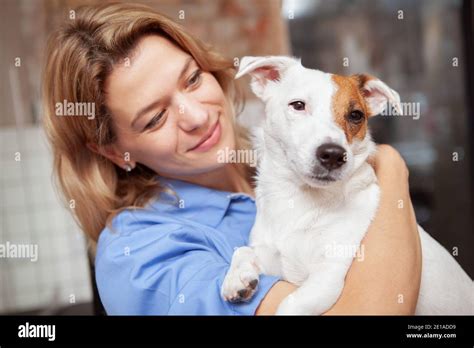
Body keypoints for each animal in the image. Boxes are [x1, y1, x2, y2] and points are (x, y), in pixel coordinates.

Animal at [221, 55, 474, 314]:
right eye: (298, 105)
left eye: (355, 115)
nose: (333, 154)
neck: (298, 199)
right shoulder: (272, 257)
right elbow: (243, 250)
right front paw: (237, 278)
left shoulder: (327, 277)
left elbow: (291, 303)